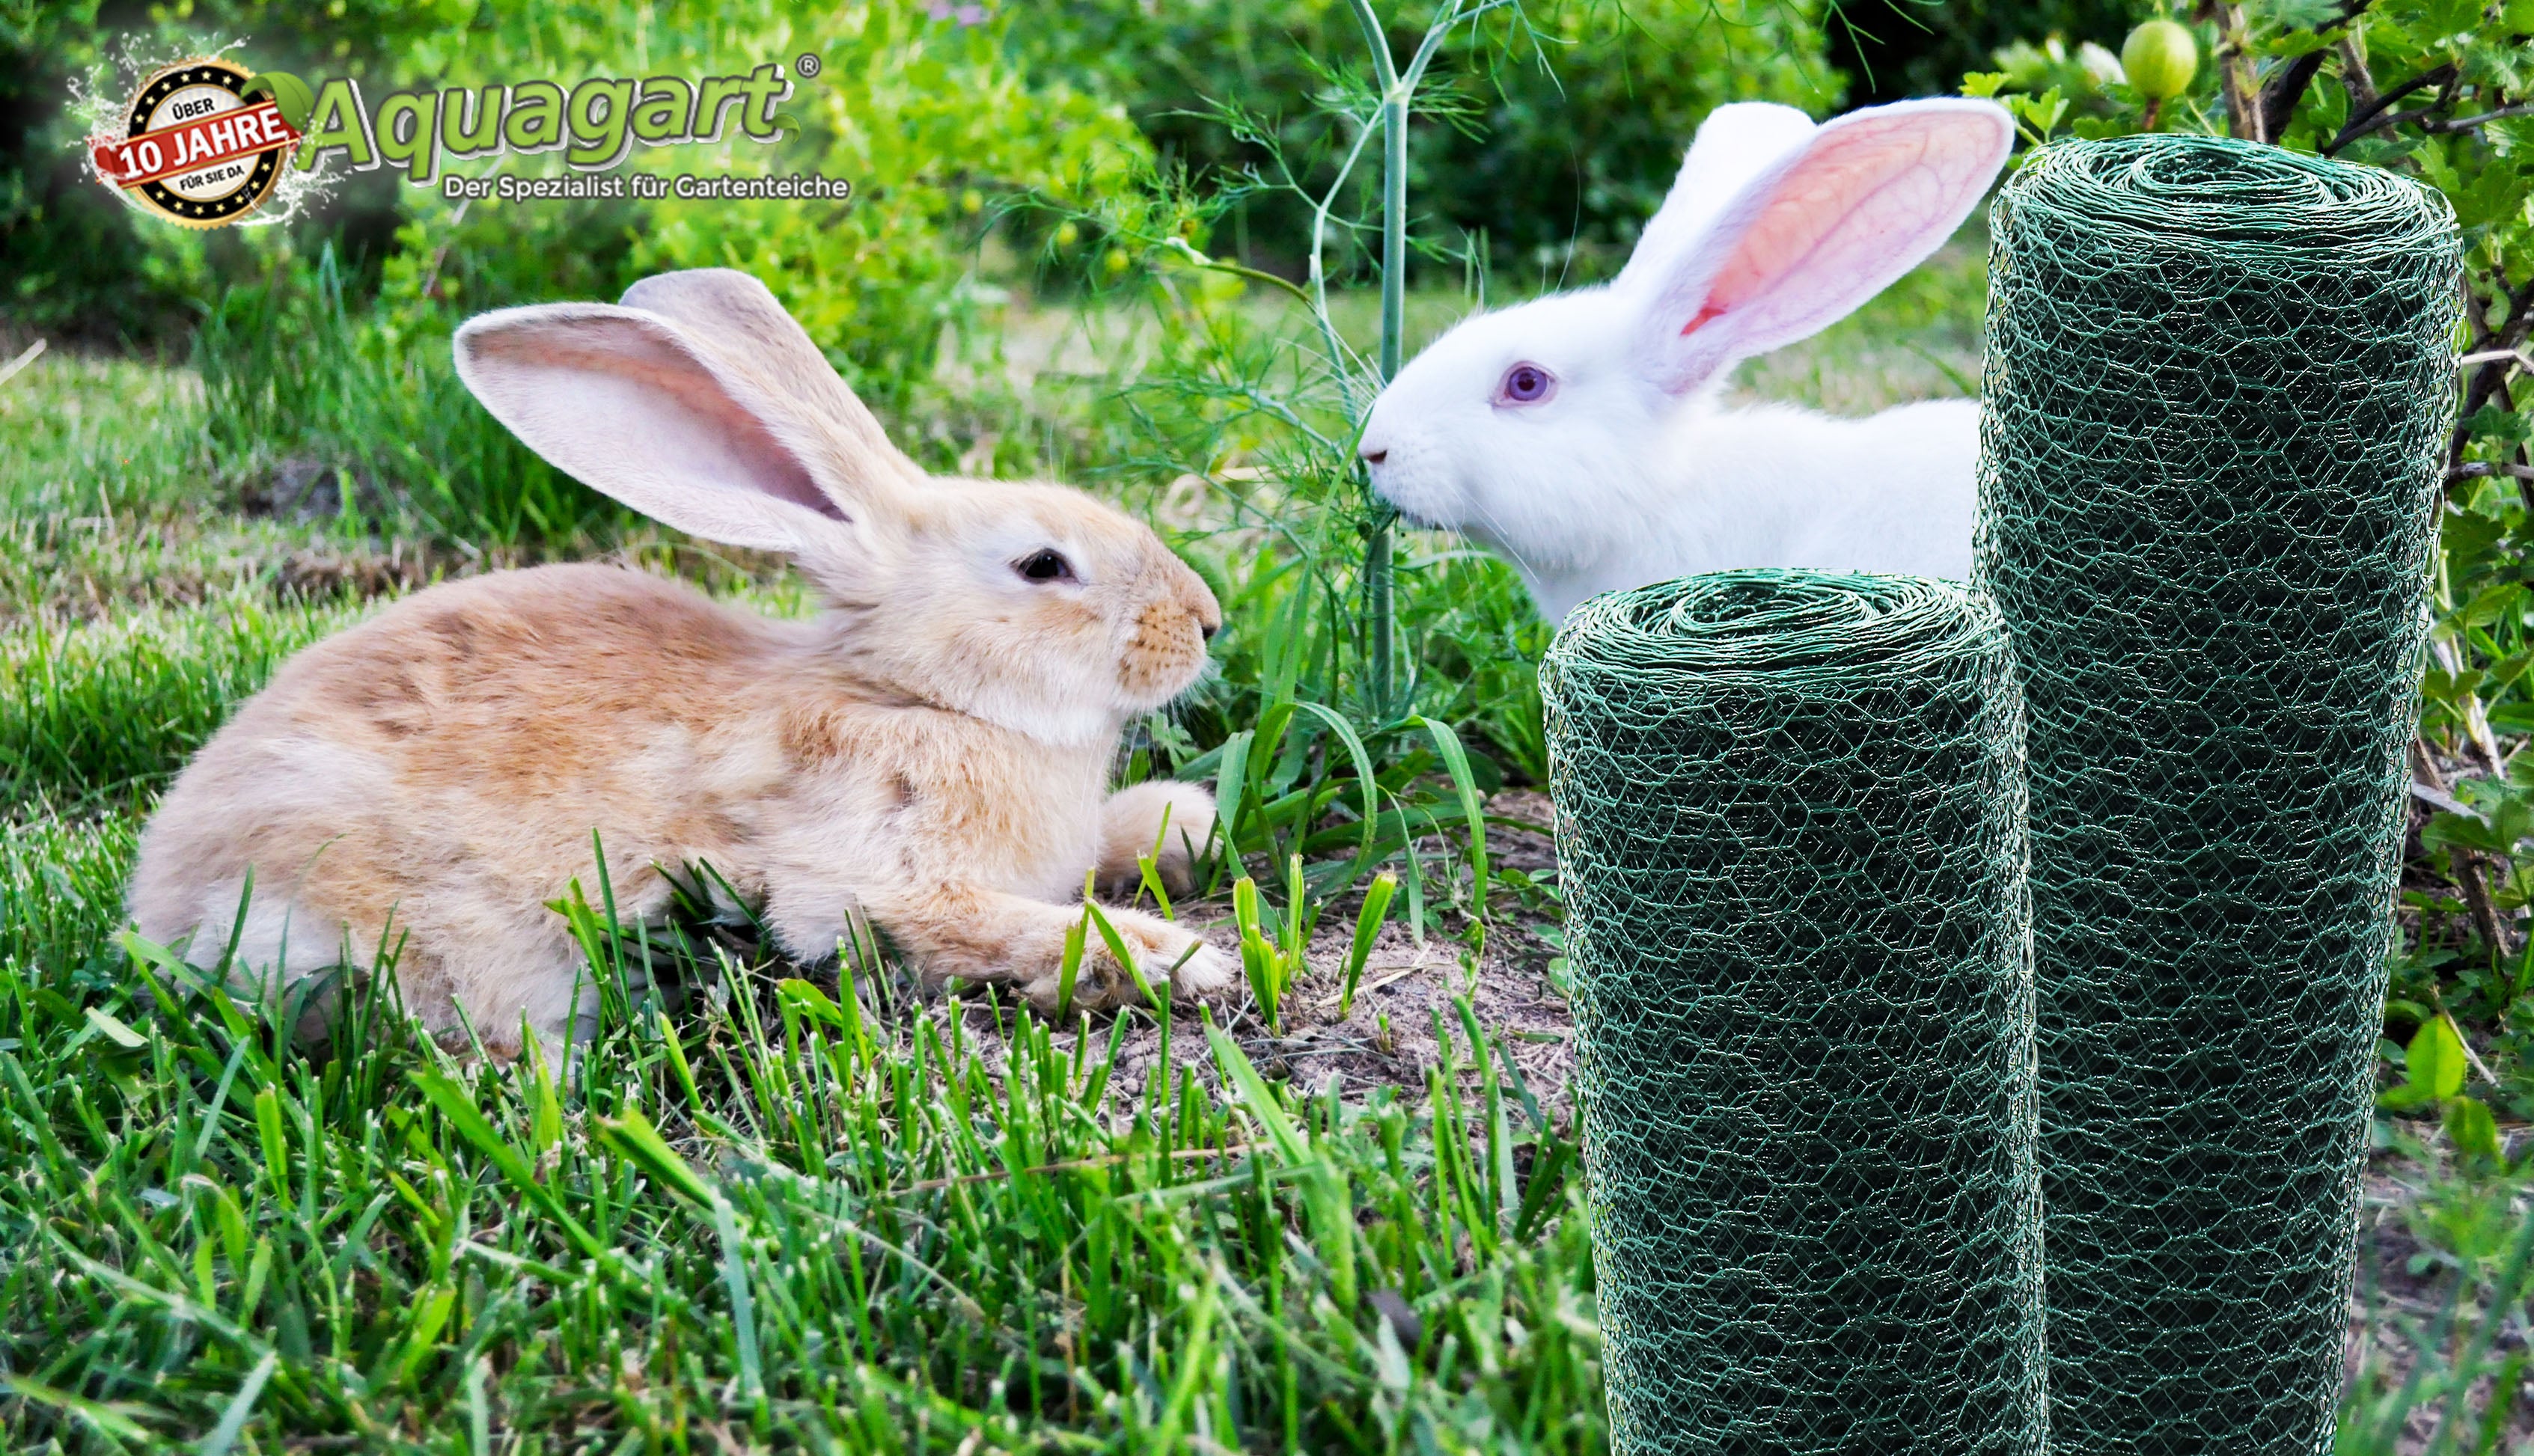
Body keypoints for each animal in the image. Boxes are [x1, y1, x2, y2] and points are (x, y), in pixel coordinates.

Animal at [126, 267, 1232, 1065]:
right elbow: (991, 923)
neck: (916, 694)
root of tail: (161, 901)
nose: (1206, 622)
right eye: (1042, 565)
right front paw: (1178, 958)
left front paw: (1183, 826)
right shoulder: (877, 874)